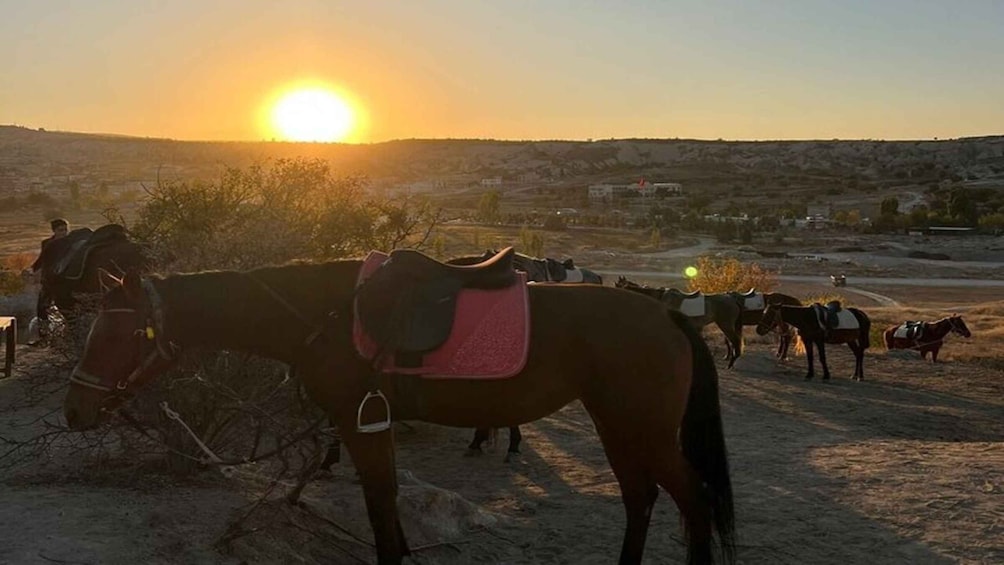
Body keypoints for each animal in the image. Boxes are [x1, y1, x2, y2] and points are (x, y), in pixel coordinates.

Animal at [610, 276, 746, 369]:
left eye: (617, 288)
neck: (661, 297)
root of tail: (732, 299)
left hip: (725, 325)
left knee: (735, 342)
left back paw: (731, 363)